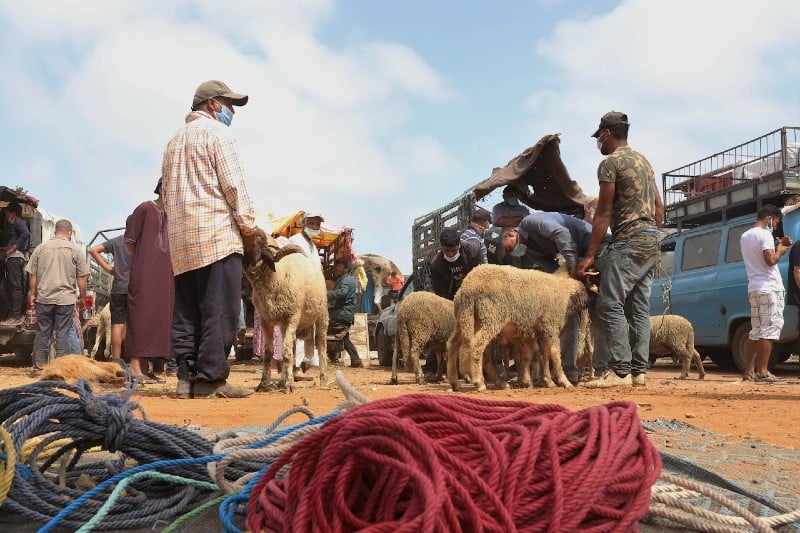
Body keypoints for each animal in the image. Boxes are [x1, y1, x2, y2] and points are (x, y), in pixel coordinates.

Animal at [245, 231, 330, 392]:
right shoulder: (265, 320)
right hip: (283, 324)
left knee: (321, 343)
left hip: (321, 315)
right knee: (291, 346)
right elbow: (269, 353)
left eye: (261, 241)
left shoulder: (293, 317)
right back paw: (282, 380)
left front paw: (289, 385)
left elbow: (286, 352)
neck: (276, 276)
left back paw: (323, 378)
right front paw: (264, 384)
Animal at [446, 264, 592, 392]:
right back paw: (479, 382)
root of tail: (469, 286)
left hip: (464, 319)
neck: (562, 290)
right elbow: (555, 354)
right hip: (490, 318)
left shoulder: (535, 332)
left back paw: (458, 383)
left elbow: (537, 356)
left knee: (454, 345)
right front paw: (564, 381)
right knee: (477, 346)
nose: (588, 304)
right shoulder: (550, 327)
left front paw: (542, 381)